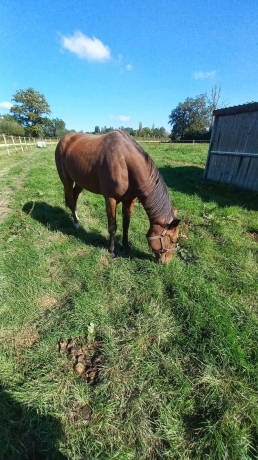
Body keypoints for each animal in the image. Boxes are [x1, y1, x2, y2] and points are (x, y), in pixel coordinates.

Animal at [55, 131, 179, 264]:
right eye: (172, 240)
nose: (166, 262)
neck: (125, 162)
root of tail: (64, 139)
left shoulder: (130, 200)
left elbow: (126, 223)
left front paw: (126, 245)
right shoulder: (110, 199)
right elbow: (112, 227)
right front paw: (112, 250)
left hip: (80, 181)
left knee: (75, 196)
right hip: (67, 181)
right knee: (71, 201)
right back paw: (76, 223)